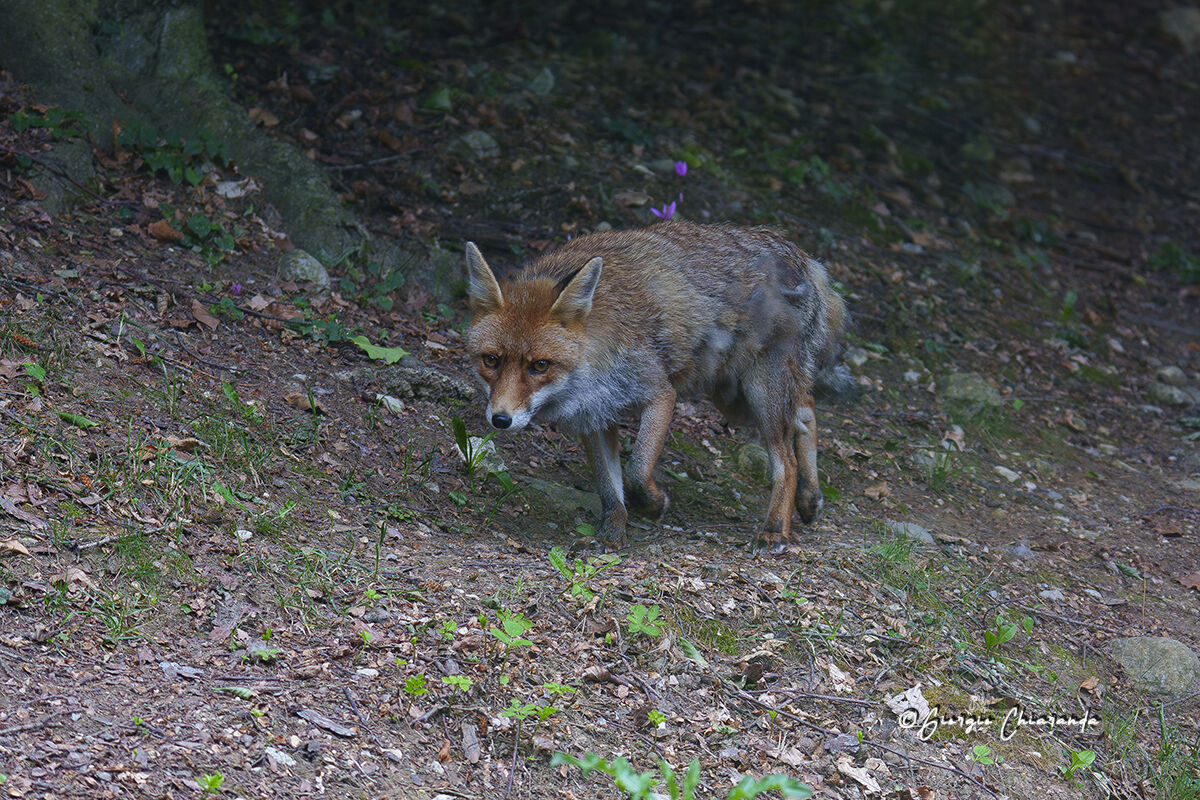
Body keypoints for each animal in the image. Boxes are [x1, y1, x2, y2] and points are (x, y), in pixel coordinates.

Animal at [464, 220, 847, 553]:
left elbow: (636, 472)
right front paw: (610, 536)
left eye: (539, 366)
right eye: (491, 360)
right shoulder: (594, 417)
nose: (500, 420)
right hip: (736, 400)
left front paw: (654, 504)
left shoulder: (660, 394)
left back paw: (775, 529)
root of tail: (801, 256)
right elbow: (610, 491)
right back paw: (810, 499)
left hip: (760, 394)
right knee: (806, 412)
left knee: (788, 460)